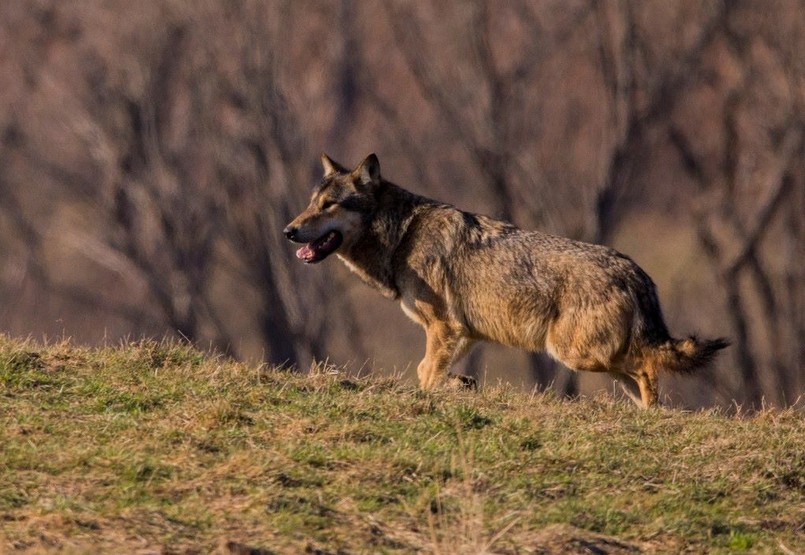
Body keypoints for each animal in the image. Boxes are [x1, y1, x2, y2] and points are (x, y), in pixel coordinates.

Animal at [284, 153, 728, 408]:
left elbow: (426, 374)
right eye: (311, 203)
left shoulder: (442, 328)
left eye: (329, 205)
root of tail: (636, 272)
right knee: (646, 378)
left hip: (573, 353)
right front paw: (457, 386)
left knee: (649, 368)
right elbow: (430, 372)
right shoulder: (462, 333)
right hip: (595, 358)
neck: (402, 236)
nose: (289, 231)